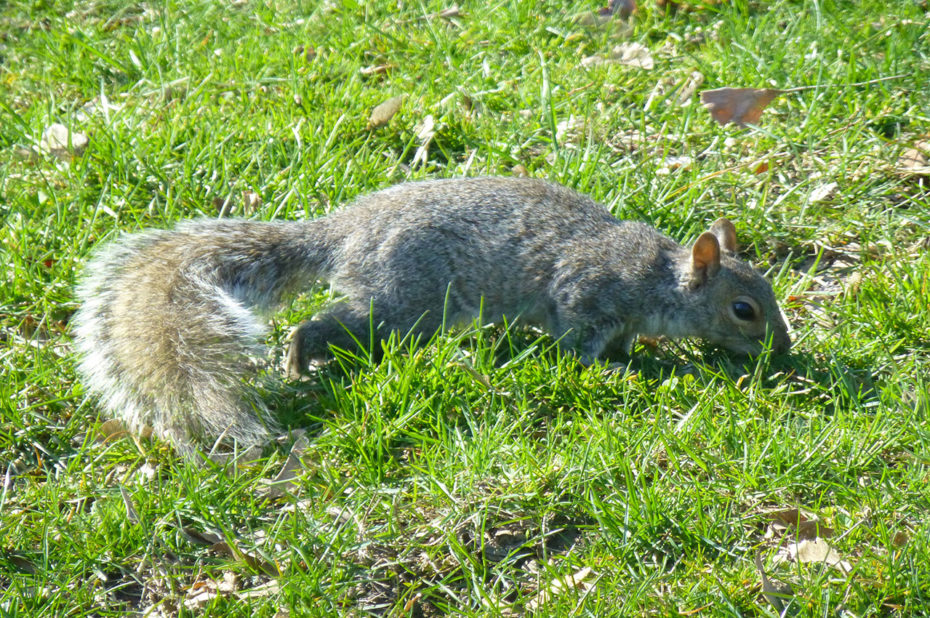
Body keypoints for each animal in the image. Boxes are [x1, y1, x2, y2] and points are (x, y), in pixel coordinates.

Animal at [74, 176, 792, 450]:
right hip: (404, 305)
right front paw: (617, 372)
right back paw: (300, 363)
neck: (656, 280)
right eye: (744, 309)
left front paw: (640, 355)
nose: (783, 352)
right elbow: (578, 346)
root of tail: (342, 233)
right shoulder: (584, 297)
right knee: (323, 326)